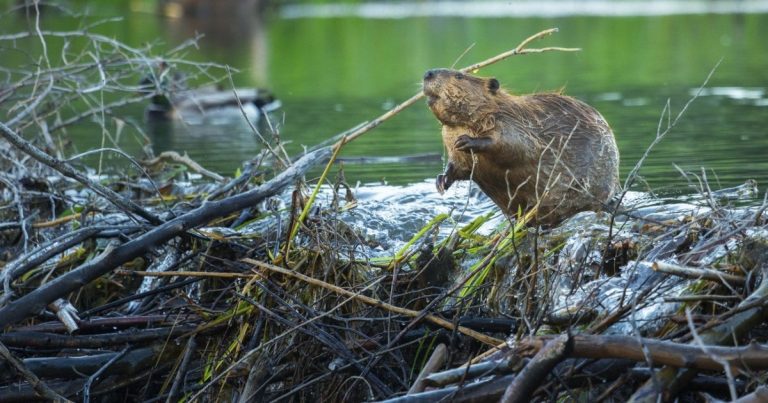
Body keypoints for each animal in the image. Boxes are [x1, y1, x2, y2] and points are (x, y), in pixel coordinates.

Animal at [424, 68, 620, 226]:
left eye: (459, 76)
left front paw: (467, 141)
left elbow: (516, 146)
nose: (428, 73)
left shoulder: (512, 122)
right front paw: (441, 181)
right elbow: (459, 166)